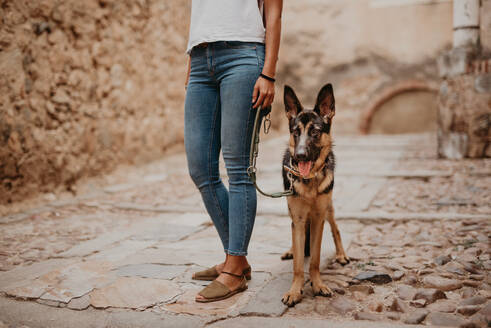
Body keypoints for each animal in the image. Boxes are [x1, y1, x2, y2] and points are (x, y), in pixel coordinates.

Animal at [280, 84, 350, 308]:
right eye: (295, 132)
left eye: (315, 132)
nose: (300, 155)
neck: (309, 180)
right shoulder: (299, 219)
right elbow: (298, 264)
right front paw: (295, 290)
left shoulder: (319, 219)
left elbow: (316, 259)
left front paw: (317, 285)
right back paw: (291, 249)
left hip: (328, 209)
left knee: (336, 228)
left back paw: (341, 254)